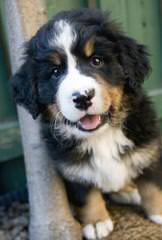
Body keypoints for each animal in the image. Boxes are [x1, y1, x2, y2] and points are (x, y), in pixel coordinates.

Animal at [12, 8, 162, 239]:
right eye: (55, 72)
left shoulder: (147, 149)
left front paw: (158, 212)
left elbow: (152, 186)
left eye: (97, 61)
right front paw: (96, 222)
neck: (102, 135)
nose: (82, 97)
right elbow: (85, 194)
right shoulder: (72, 167)